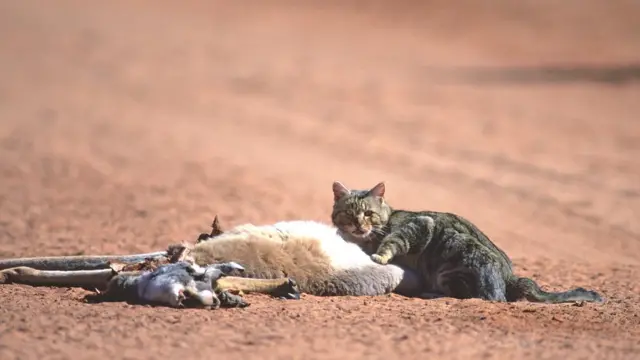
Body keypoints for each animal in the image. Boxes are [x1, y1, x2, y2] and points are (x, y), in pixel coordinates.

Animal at [330, 180, 604, 304]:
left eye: (368, 214)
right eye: (348, 214)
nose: (358, 225)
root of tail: (511, 278)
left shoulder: (420, 225)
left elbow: (392, 241)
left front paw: (379, 255)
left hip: (452, 261)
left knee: (483, 297)